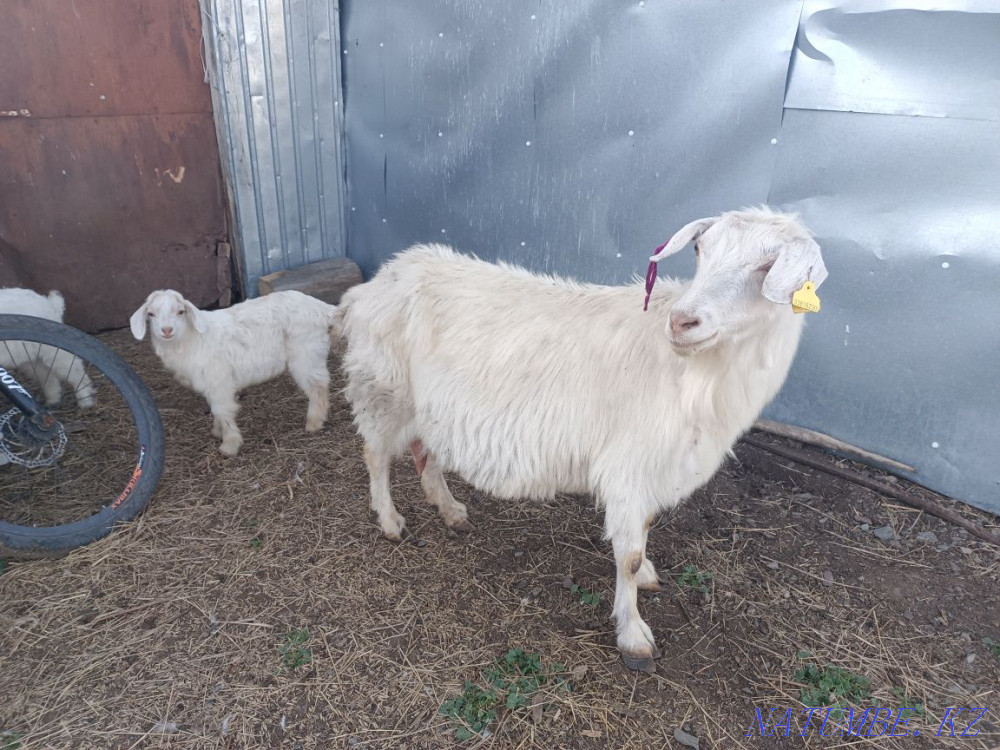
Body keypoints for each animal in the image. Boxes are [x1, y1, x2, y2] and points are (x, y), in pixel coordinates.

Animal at [130, 289, 338, 456]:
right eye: (151, 314)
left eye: (180, 311)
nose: (166, 330)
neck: (190, 339)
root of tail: (323, 309)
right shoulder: (210, 384)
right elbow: (215, 408)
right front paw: (217, 430)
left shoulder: (218, 380)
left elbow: (223, 410)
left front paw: (229, 445)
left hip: (306, 353)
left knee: (318, 386)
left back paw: (314, 422)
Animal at [334, 206, 828, 672]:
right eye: (699, 251)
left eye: (769, 264)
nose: (682, 322)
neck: (695, 374)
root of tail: (377, 281)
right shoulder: (630, 462)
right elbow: (627, 556)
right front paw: (634, 636)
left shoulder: (653, 467)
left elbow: (643, 532)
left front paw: (647, 576)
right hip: (383, 389)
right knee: (375, 454)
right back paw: (390, 521)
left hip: (426, 406)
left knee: (425, 450)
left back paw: (451, 510)